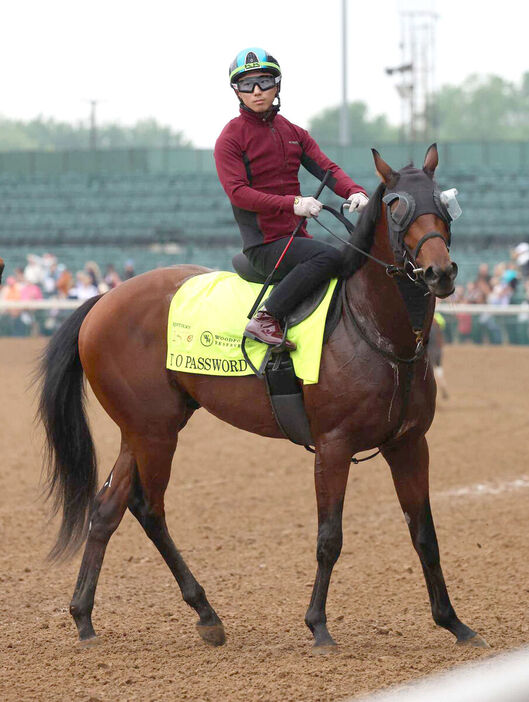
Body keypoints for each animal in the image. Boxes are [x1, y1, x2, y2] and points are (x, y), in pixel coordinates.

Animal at [39, 144, 488, 656]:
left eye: (443, 202)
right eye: (397, 207)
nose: (441, 272)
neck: (373, 327)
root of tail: (105, 298)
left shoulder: (409, 444)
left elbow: (425, 535)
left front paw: (454, 622)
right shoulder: (333, 446)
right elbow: (329, 538)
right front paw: (318, 626)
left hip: (141, 429)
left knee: (107, 508)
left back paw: (86, 616)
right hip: (155, 432)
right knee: (149, 508)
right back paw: (203, 613)